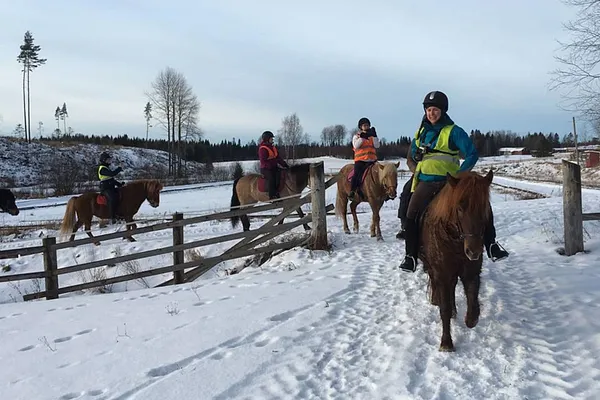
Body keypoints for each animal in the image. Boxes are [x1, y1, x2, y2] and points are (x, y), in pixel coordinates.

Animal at [420, 170, 494, 352]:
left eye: (485, 208)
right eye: (460, 208)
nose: (473, 251)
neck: (455, 242)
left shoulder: (471, 272)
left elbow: (472, 305)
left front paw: (470, 319)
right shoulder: (442, 274)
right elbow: (444, 309)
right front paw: (446, 343)